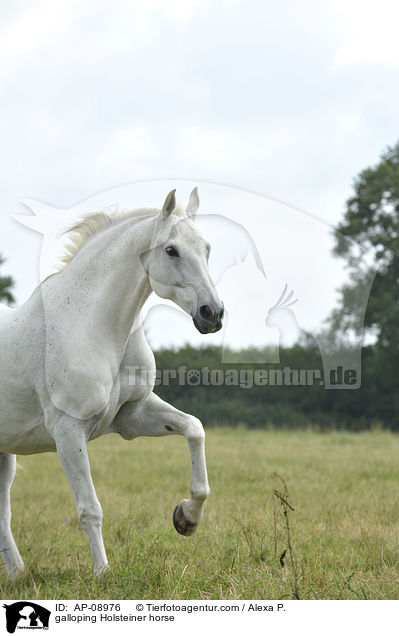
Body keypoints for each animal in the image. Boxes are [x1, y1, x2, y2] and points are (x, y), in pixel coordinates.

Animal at [0, 188, 225, 576]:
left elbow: (194, 430)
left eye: (207, 248)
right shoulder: (68, 432)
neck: (93, 325)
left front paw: (186, 518)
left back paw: (19, 577)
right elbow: (90, 508)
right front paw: (102, 574)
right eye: (171, 250)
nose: (213, 313)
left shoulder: (132, 415)